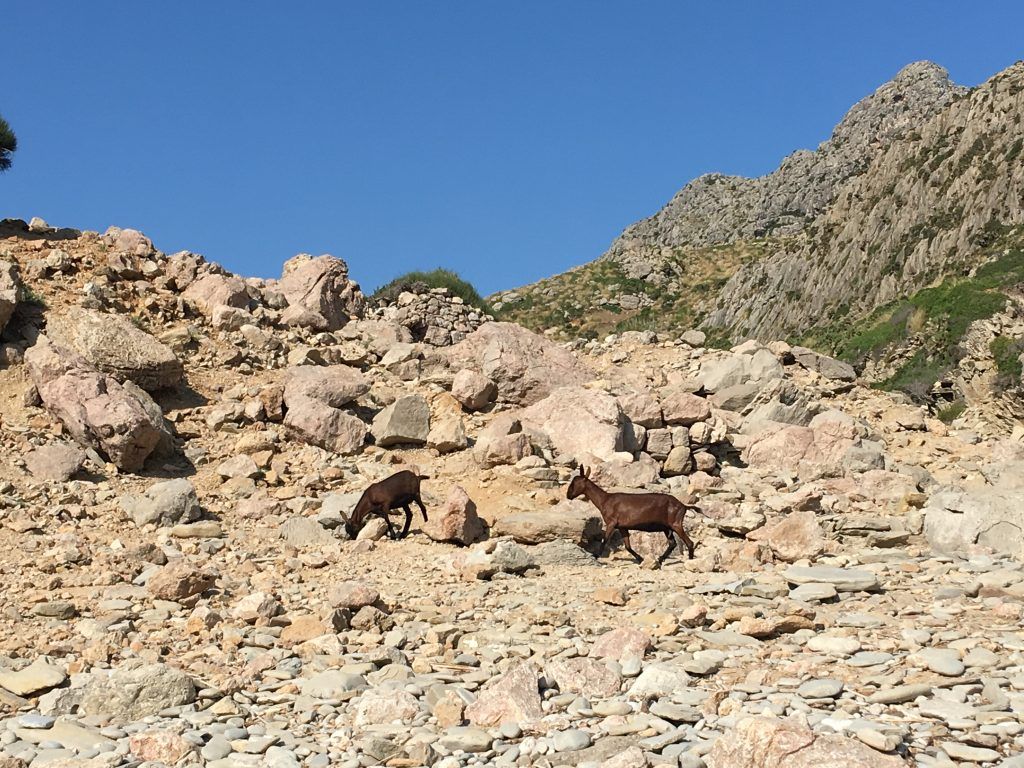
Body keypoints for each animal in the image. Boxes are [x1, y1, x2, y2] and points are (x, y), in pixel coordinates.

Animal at [565, 462, 700, 565]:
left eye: (573, 483)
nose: (568, 495)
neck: (605, 500)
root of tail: (683, 506)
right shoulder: (622, 527)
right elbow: (628, 546)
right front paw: (640, 559)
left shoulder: (611, 523)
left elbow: (604, 541)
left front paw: (596, 556)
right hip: (667, 527)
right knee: (672, 544)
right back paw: (661, 559)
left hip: (676, 524)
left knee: (689, 542)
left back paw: (690, 561)